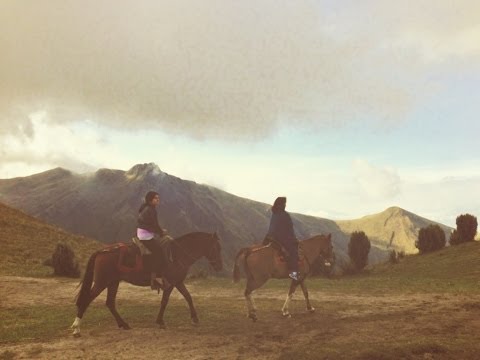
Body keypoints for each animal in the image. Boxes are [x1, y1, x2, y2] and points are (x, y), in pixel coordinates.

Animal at [71, 232, 223, 336]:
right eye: (217, 247)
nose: (220, 267)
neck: (177, 254)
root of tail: (102, 251)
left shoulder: (178, 282)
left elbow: (188, 297)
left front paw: (195, 319)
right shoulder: (171, 283)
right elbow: (165, 301)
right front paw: (161, 322)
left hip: (113, 282)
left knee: (110, 303)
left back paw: (124, 324)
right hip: (102, 282)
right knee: (86, 300)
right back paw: (76, 328)